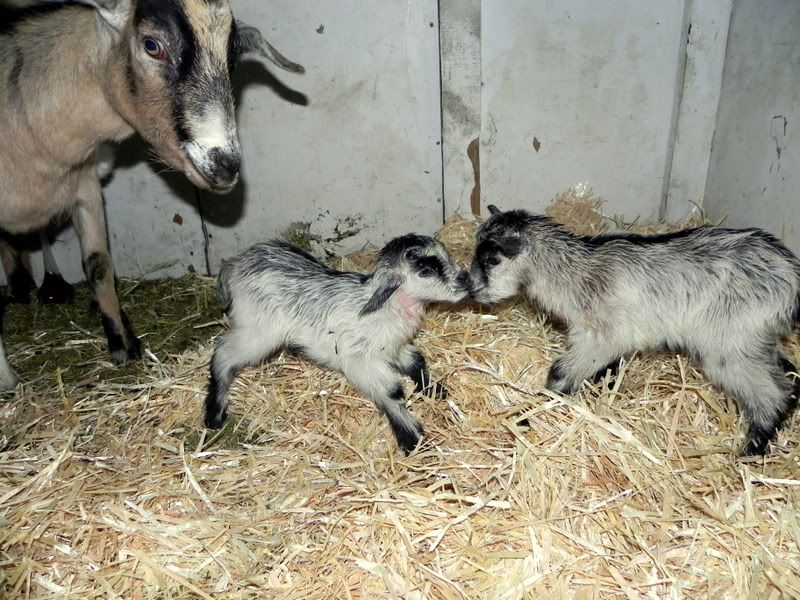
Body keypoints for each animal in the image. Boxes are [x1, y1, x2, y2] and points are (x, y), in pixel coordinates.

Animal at [0, 0, 304, 391]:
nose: (225, 164)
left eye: (231, 59)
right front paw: (7, 381)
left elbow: (98, 265)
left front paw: (123, 344)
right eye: (151, 45)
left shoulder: (85, 186)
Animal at [205, 235, 472, 454]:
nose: (465, 280)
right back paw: (214, 413)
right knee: (223, 353)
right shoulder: (360, 361)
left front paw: (435, 390)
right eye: (426, 271)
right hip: (259, 331)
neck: (385, 308)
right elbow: (391, 393)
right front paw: (413, 440)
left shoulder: (392, 348)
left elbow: (416, 360)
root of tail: (235, 263)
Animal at [469, 204, 800, 456]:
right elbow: (608, 370)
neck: (576, 273)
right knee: (788, 372)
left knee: (770, 393)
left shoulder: (601, 335)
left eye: (492, 259)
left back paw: (750, 450)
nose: (471, 290)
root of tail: (792, 281)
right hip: (755, 337)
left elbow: (562, 373)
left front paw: (530, 414)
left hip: (729, 341)